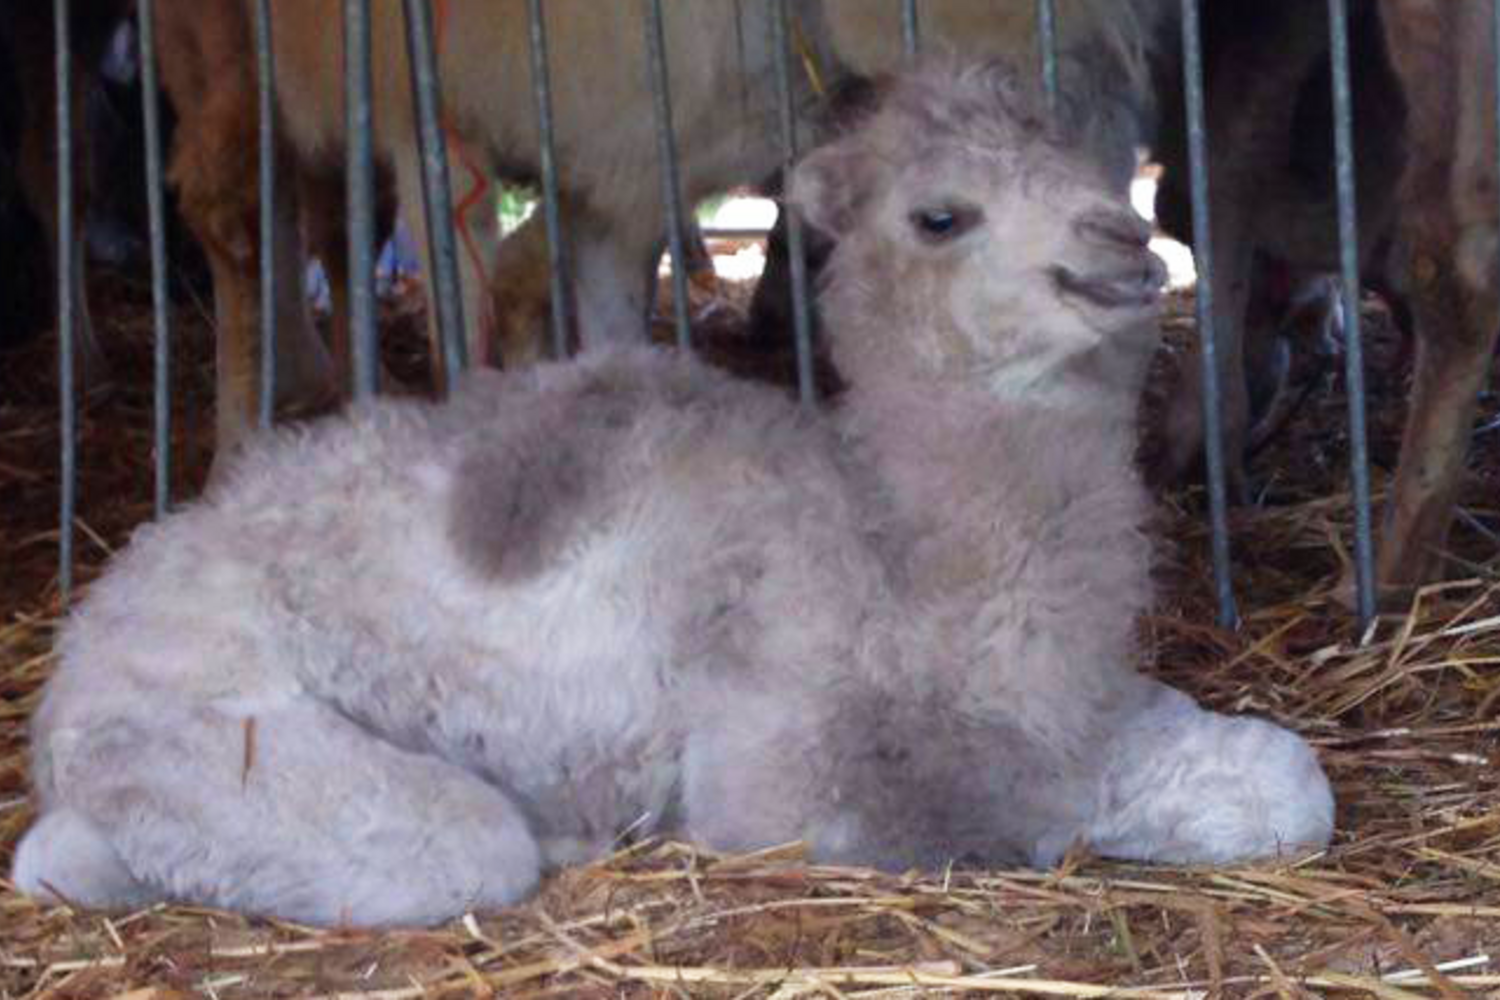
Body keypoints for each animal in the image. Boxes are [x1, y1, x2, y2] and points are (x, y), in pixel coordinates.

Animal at [11, 61, 1334, 928]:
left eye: (1102, 168)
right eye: (941, 215)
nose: (1123, 247)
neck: (891, 554)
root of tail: (88, 627)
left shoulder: (1063, 696)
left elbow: (1288, 781)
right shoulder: (777, 766)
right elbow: (987, 814)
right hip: (199, 721)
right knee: (406, 845)